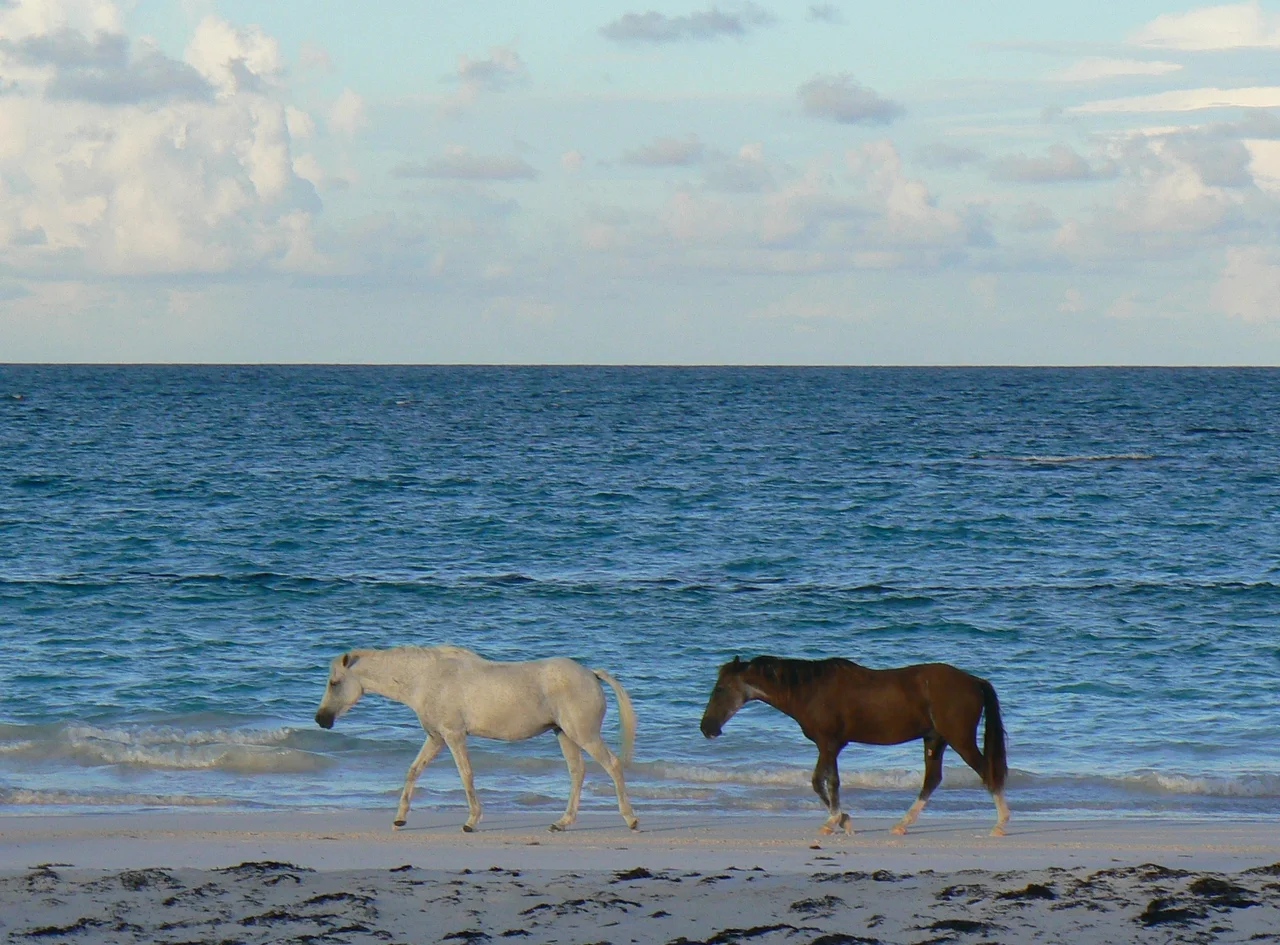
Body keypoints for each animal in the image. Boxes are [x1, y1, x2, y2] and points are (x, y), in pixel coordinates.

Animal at [314, 645, 639, 833]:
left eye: (334, 682)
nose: (321, 719)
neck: (426, 678)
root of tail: (591, 673)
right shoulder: (435, 738)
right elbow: (413, 771)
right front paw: (400, 818)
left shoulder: (453, 735)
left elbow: (466, 774)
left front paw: (471, 821)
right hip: (565, 735)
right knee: (577, 772)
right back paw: (562, 822)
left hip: (583, 735)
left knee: (612, 765)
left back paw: (630, 819)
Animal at [700, 655, 1009, 837]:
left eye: (720, 689)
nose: (707, 728)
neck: (810, 690)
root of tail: (974, 681)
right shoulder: (831, 746)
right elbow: (825, 781)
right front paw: (843, 819)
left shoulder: (828, 743)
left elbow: (825, 781)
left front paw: (836, 820)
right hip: (935, 739)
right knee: (932, 779)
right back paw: (901, 825)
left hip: (959, 738)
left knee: (986, 772)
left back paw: (1000, 824)